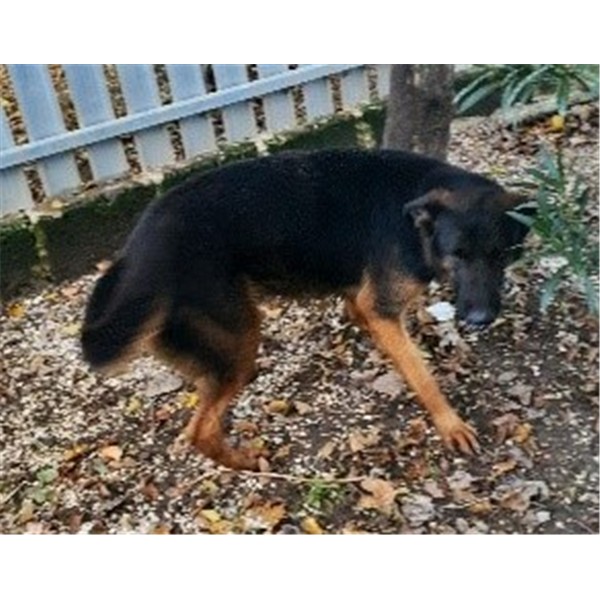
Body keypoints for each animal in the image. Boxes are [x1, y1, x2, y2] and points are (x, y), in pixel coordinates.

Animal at [81, 149, 532, 470]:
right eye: (457, 255)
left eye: (499, 254)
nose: (480, 320)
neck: (415, 210)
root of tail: (142, 253)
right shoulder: (382, 307)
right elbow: (423, 376)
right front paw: (450, 423)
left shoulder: (363, 298)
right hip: (241, 340)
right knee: (201, 430)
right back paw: (245, 461)